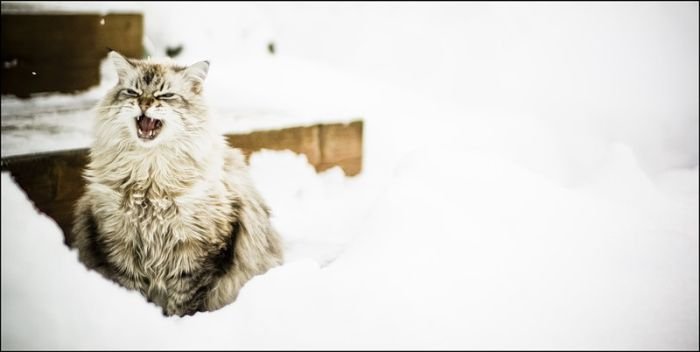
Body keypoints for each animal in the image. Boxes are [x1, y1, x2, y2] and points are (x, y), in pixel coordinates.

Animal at [72, 51, 284, 318]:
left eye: (165, 95)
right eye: (132, 92)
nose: (144, 103)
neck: (150, 180)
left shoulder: (196, 252)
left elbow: (184, 302)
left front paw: (178, 323)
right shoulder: (120, 243)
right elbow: (132, 289)